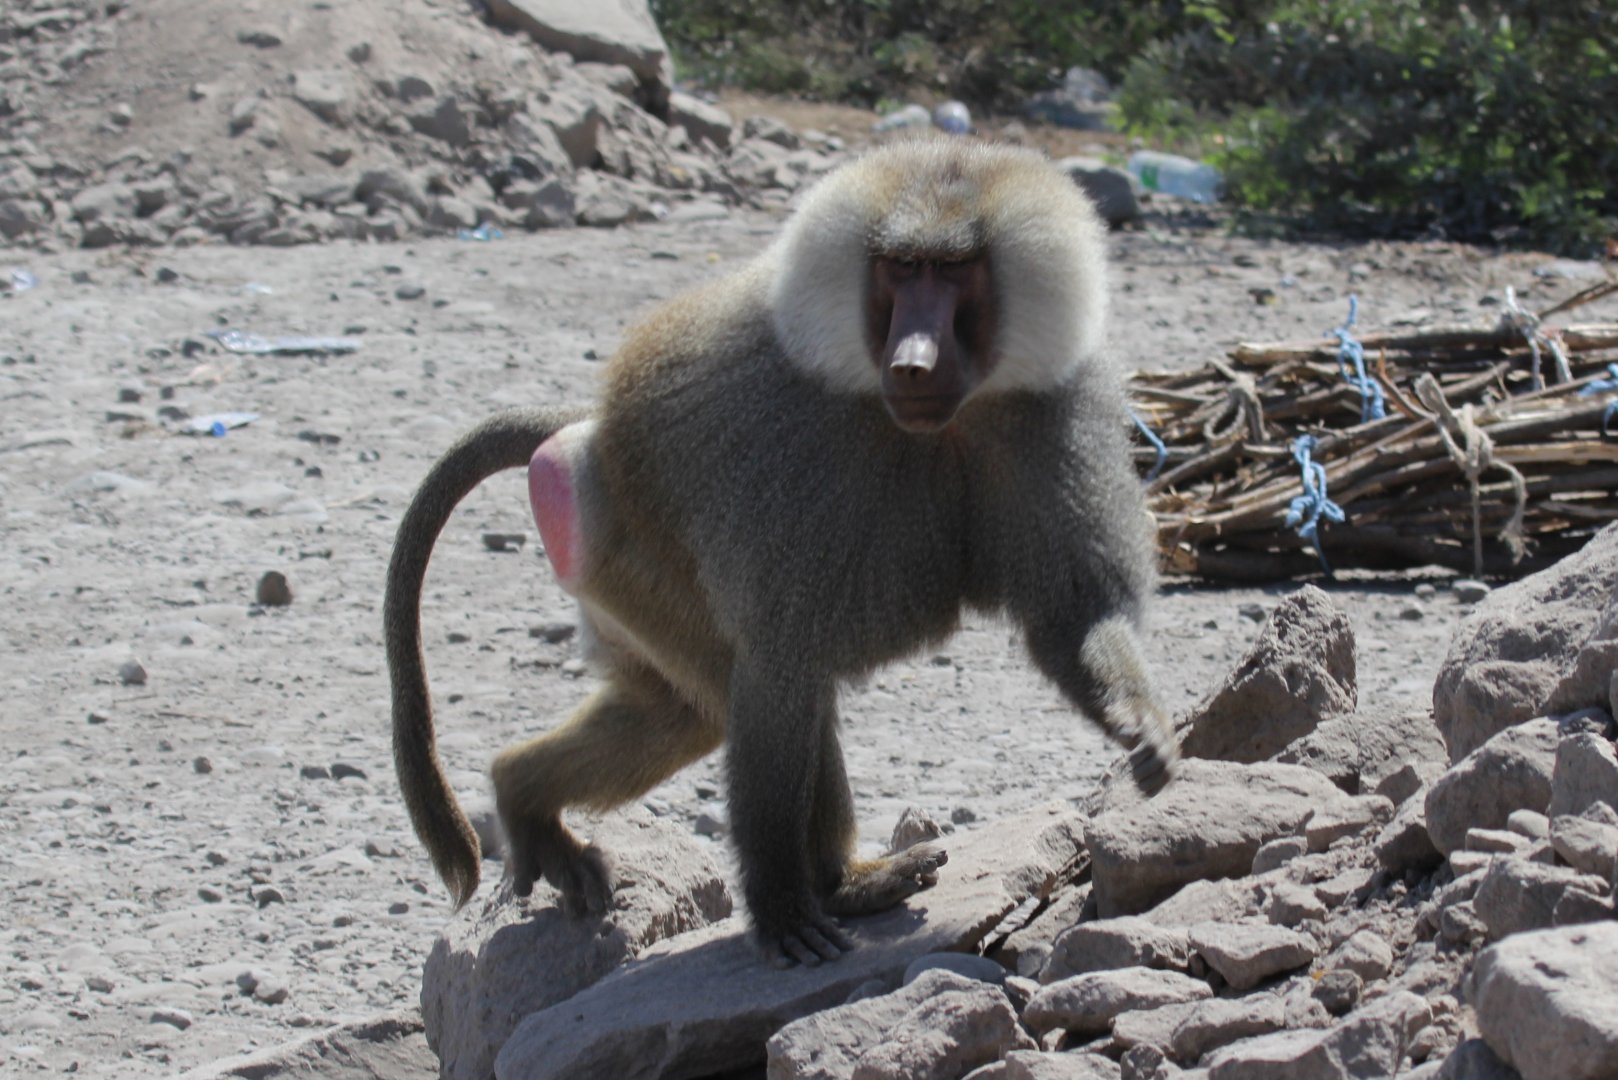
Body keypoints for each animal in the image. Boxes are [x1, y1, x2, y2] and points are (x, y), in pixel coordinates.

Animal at [386, 139, 1178, 967]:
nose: (913, 362)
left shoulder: (1055, 407)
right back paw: (837, 887)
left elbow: (1073, 615)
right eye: (901, 268)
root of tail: (590, 431)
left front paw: (1137, 723)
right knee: (755, 691)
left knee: (679, 715)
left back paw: (525, 798)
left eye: (953, 271)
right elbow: (778, 664)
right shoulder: (786, 452)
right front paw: (777, 907)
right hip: (630, 555)